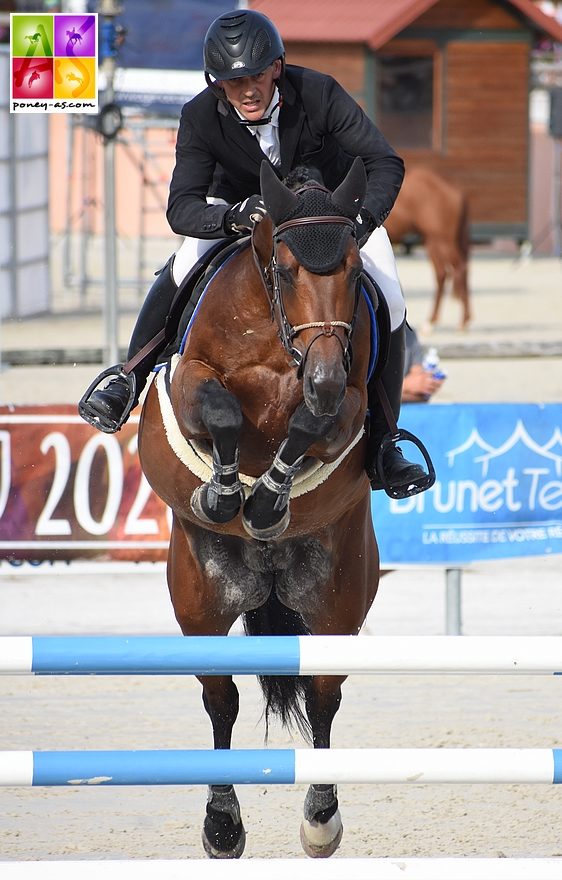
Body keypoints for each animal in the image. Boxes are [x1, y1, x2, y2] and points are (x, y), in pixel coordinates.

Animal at [137, 158, 378, 860]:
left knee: (323, 698)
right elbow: (218, 409)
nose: (322, 377)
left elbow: (309, 425)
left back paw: (320, 818)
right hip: (200, 602)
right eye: (286, 270)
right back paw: (222, 824)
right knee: (221, 700)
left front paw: (268, 497)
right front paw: (225, 493)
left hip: (336, 600)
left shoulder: (349, 401)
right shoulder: (193, 377)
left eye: (355, 268)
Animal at [382, 165, 470, 330]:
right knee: (444, 273)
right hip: (433, 241)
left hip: (442, 240)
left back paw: (460, 321)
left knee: (458, 269)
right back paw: (434, 321)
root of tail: (453, 187)